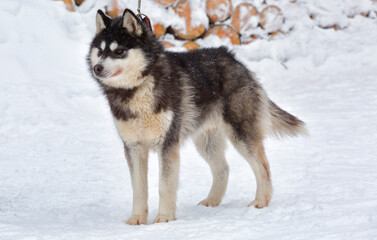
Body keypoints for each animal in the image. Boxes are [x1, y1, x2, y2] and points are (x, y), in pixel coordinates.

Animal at [87, 7, 306, 225]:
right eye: (100, 51)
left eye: (119, 51)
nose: (97, 68)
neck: (138, 89)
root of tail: (232, 58)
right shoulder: (133, 147)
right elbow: (139, 189)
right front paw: (137, 219)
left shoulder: (167, 144)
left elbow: (165, 186)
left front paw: (164, 219)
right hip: (206, 142)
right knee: (223, 169)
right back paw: (212, 201)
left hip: (241, 136)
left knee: (263, 167)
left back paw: (261, 201)